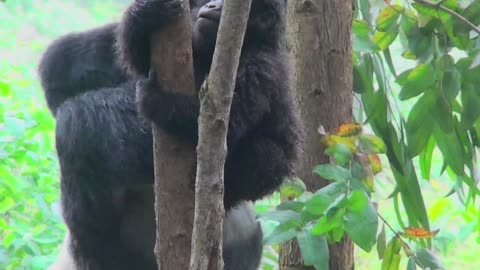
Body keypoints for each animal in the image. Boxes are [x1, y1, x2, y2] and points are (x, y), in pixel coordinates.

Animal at [39, 0, 300, 270]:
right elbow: (130, 59)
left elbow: (222, 118)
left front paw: (157, 100)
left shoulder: (258, 66)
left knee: (264, 155)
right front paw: (145, 14)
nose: (212, 5)